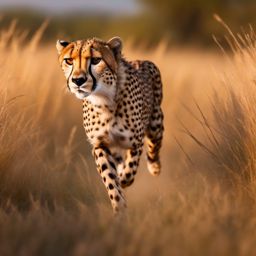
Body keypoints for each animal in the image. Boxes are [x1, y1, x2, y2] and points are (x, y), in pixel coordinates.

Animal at [56, 36, 164, 212]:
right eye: (69, 60)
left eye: (96, 60)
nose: (78, 80)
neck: (104, 99)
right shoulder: (101, 145)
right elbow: (110, 179)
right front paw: (119, 206)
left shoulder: (135, 142)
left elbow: (129, 171)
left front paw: (123, 179)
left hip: (156, 124)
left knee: (154, 147)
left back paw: (155, 167)